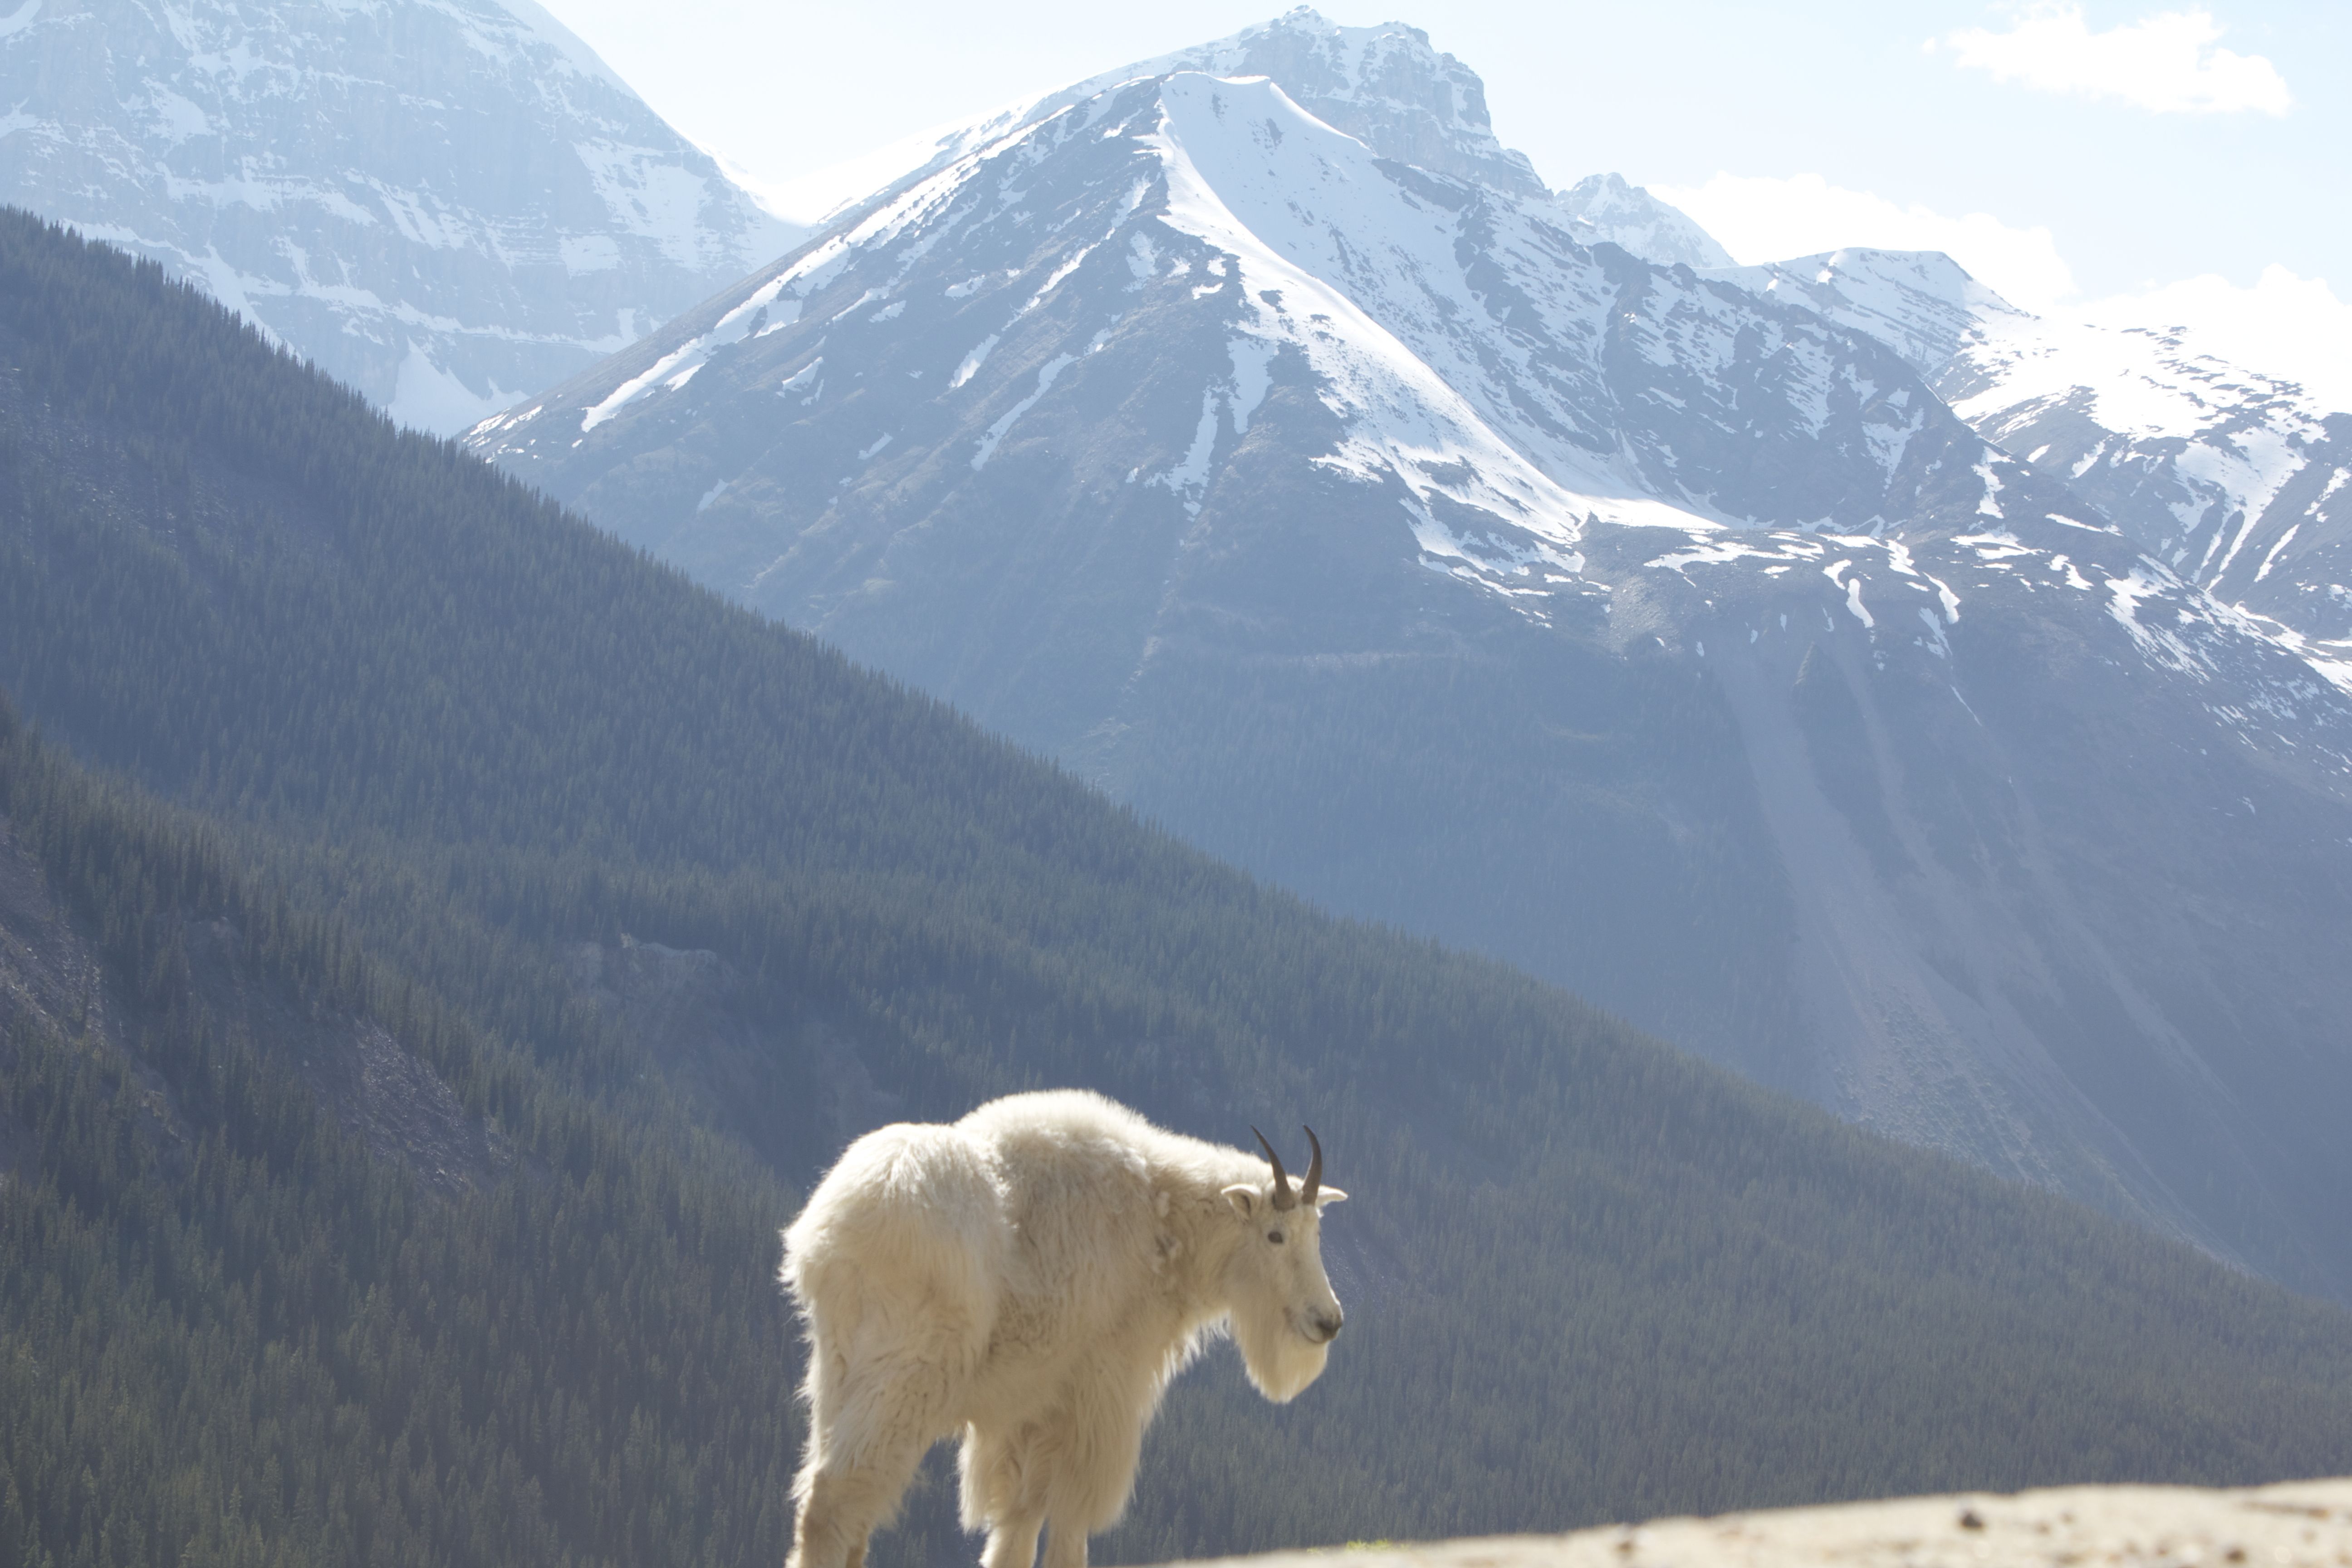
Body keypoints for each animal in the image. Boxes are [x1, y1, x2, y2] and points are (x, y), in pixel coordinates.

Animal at [781, 1091, 1354, 1568]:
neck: (1162, 1222)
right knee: (836, 1496)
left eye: (1317, 1233)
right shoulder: (1100, 1391)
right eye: (1275, 1236)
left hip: (834, 1369)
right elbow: (1070, 1518)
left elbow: (1019, 1519)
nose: (1328, 1322)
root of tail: (838, 1228)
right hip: (902, 1373)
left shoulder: (1031, 1405)